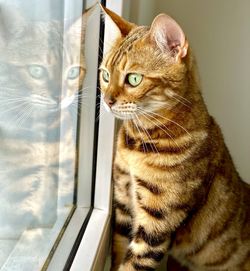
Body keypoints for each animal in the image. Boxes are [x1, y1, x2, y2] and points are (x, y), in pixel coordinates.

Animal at [99, 5, 250, 271]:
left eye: (134, 79)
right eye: (105, 75)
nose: (106, 101)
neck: (137, 145)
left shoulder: (157, 221)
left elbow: (133, 263)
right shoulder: (124, 204)